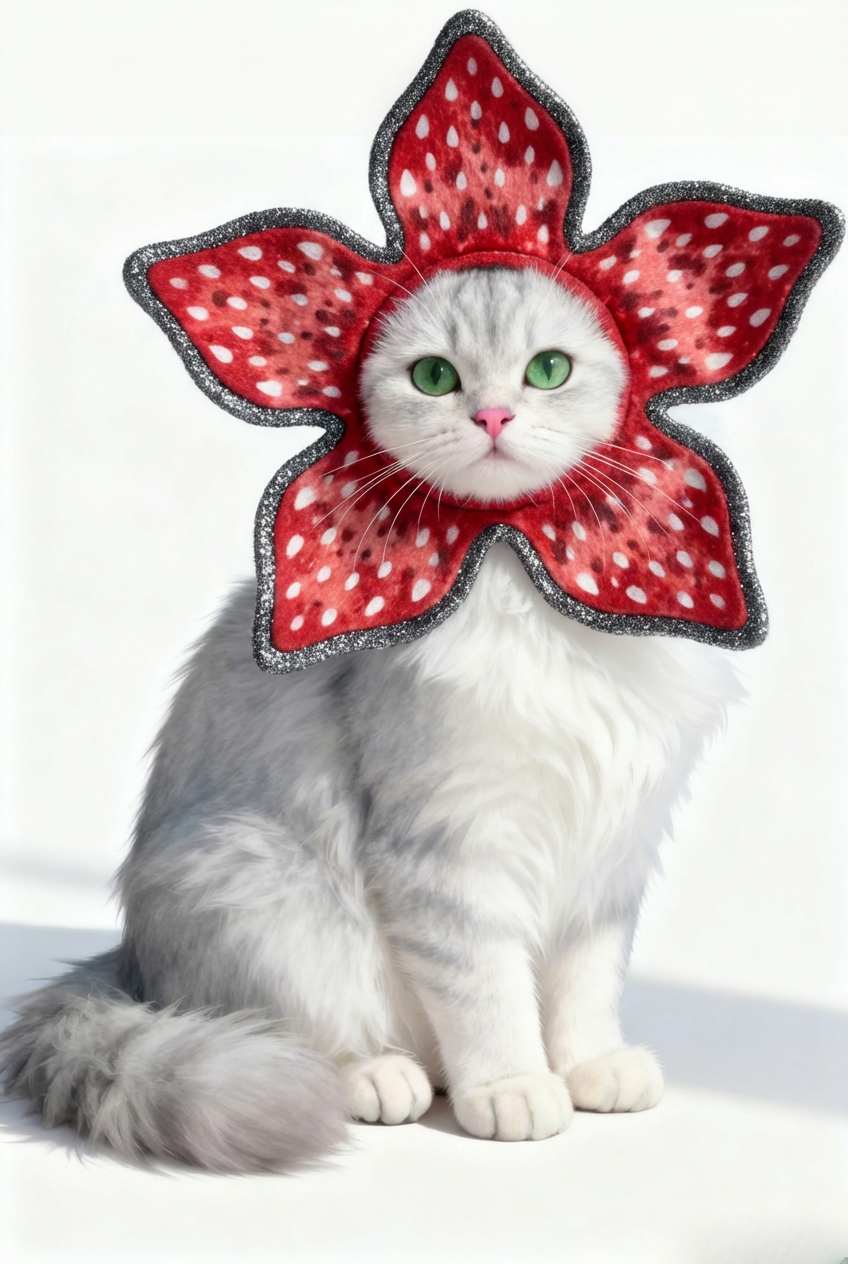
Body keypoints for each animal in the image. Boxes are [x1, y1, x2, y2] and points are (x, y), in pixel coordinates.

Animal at [1, 265, 737, 1171]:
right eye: (435, 377)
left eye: (548, 370)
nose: (493, 416)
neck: (521, 576)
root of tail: (128, 959)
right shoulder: (448, 845)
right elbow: (488, 991)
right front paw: (515, 1086)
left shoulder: (608, 848)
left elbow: (584, 984)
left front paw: (589, 1065)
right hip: (254, 878)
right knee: (298, 1033)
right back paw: (379, 1078)